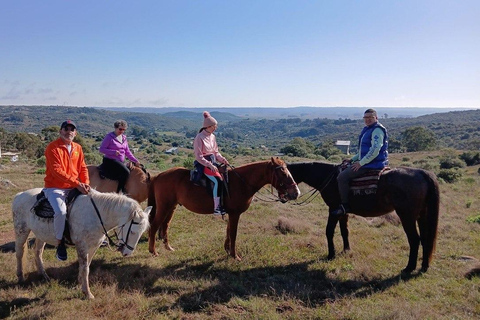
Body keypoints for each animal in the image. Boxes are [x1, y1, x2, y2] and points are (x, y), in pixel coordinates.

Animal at [12, 189, 151, 298]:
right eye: (132, 231)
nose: (127, 253)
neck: (96, 215)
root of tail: (19, 195)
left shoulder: (94, 246)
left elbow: (87, 265)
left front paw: (80, 284)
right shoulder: (82, 246)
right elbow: (85, 268)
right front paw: (87, 293)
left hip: (41, 234)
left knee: (38, 252)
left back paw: (44, 275)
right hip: (21, 231)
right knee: (19, 252)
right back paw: (20, 277)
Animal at [148, 158, 302, 260]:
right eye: (283, 173)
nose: (296, 193)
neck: (241, 182)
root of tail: (159, 176)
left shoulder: (231, 214)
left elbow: (228, 231)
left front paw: (227, 250)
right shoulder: (235, 214)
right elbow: (233, 233)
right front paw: (234, 255)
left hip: (171, 207)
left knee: (165, 225)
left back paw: (168, 247)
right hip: (164, 206)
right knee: (154, 226)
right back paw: (153, 251)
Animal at [286, 161, 440, 274]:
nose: (290, 196)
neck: (328, 177)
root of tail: (422, 173)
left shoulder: (333, 210)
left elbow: (329, 231)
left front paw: (331, 255)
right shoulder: (343, 212)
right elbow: (344, 231)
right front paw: (346, 250)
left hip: (407, 216)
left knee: (414, 239)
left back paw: (409, 268)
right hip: (422, 215)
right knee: (425, 239)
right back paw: (424, 266)